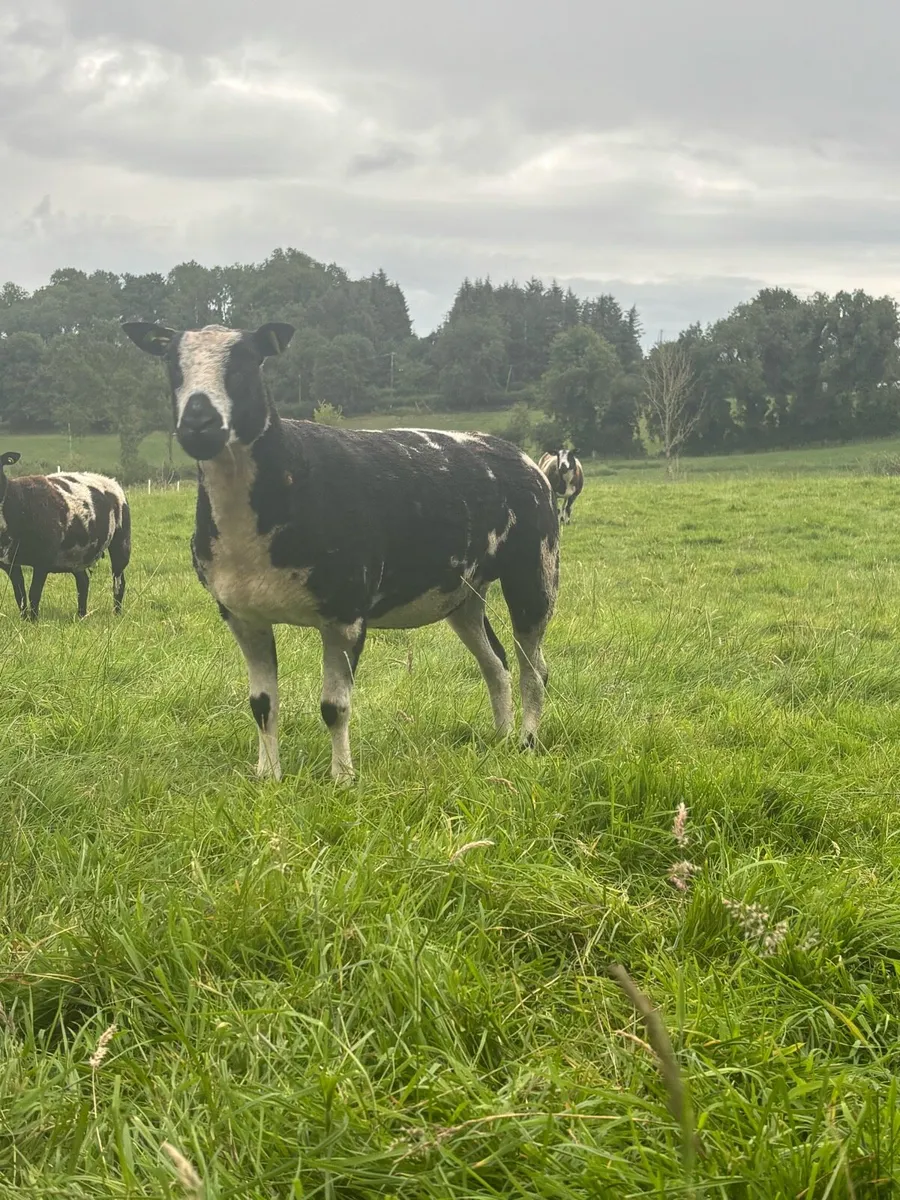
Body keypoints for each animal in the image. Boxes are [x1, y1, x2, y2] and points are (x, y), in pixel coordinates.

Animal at [0, 452, 131, 620]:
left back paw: (117, 613)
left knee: (118, 581)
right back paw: (81, 616)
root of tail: (110, 480)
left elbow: (34, 593)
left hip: (121, 541)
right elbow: (20, 594)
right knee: (83, 582)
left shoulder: (43, 559)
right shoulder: (10, 563)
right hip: (77, 554)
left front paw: (33, 621)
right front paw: (24, 620)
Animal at [122, 319, 560, 783]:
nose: (198, 425)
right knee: (496, 664)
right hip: (464, 592)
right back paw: (501, 738)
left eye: (246, 365)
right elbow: (262, 705)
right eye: (172, 367)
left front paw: (343, 778)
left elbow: (334, 707)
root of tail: (521, 455)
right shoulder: (243, 615)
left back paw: (527, 742)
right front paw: (268, 776)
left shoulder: (346, 613)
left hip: (536, 570)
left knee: (534, 670)